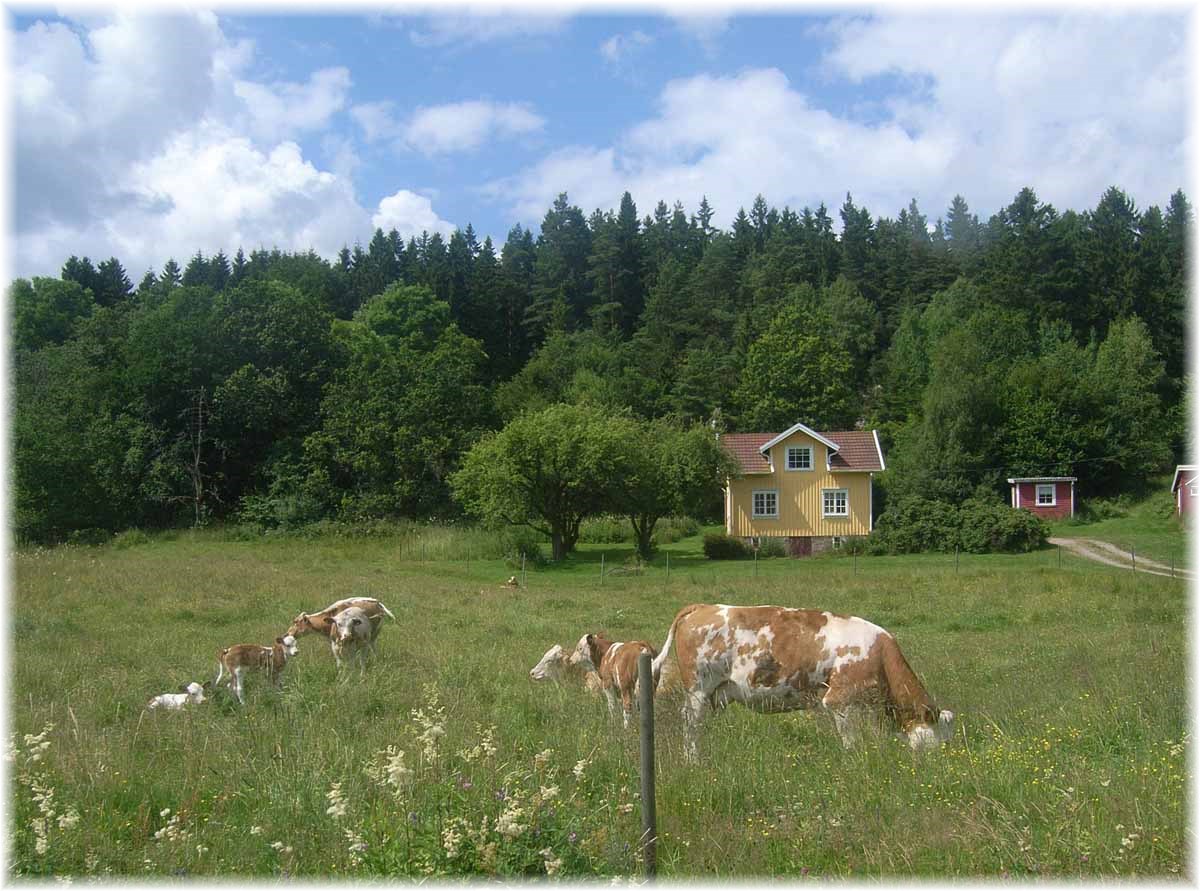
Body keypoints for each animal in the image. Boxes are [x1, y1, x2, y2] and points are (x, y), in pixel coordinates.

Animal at [652, 600, 950, 758]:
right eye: (940, 735)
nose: (942, 761)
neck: (879, 655)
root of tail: (704, 606)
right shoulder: (840, 700)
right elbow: (850, 740)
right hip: (697, 690)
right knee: (691, 725)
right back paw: (694, 761)